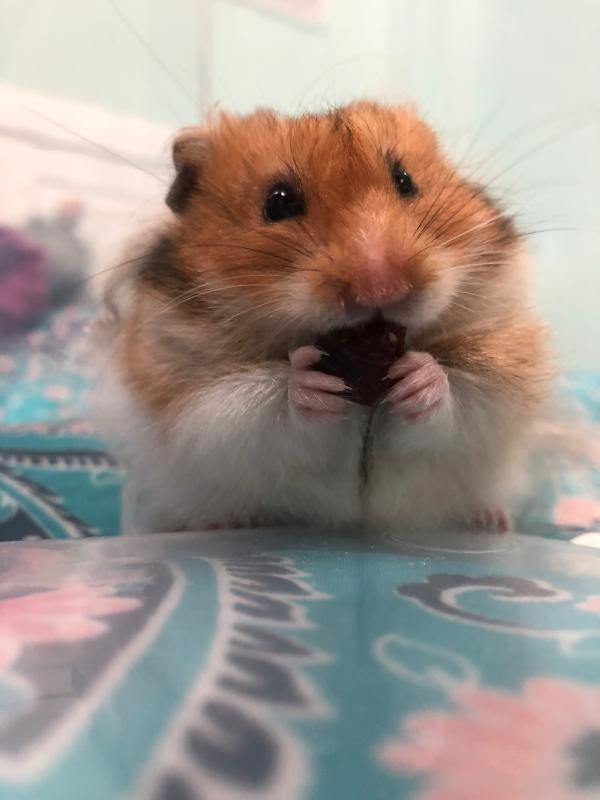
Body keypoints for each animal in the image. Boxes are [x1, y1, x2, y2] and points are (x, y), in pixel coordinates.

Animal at [91, 101, 551, 534]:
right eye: (278, 203)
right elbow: (254, 405)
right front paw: (309, 382)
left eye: (405, 180)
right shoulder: (195, 398)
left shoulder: (502, 368)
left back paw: (492, 520)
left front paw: (418, 375)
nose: (382, 288)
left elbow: (460, 397)